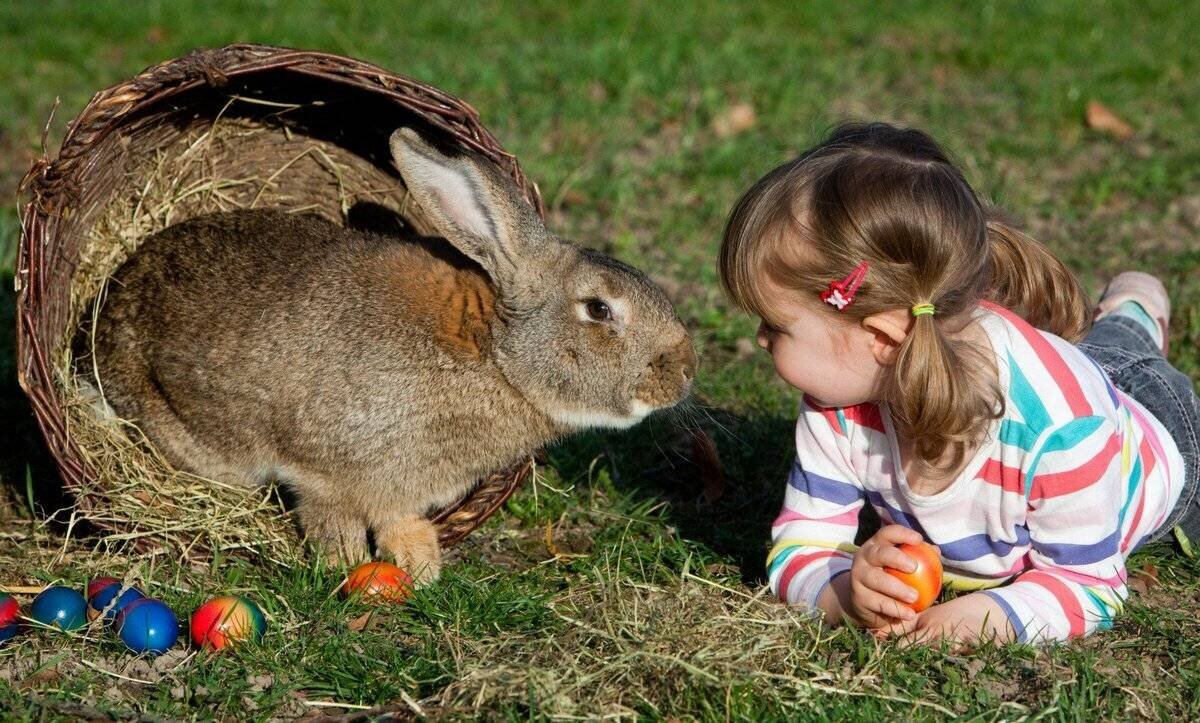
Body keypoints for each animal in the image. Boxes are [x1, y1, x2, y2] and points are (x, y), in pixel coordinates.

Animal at [93, 127, 696, 578]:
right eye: (598, 310)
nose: (684, 373)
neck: (494, 355)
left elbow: (397, 519)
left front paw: (419, 561)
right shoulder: (322, 469)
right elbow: (330, 512)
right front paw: (343, 563)